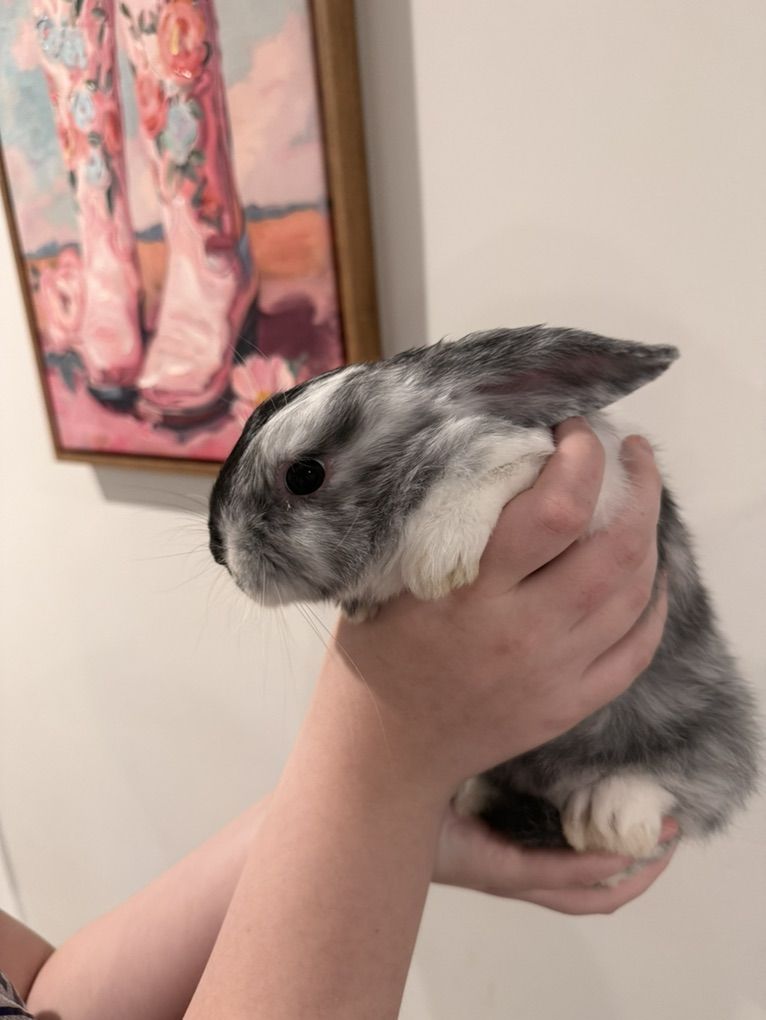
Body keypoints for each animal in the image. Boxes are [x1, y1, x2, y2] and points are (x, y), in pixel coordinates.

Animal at [208, 326, 759, 858]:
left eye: (304, 475)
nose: (222, 554)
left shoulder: (586, 484)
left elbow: (485, 460)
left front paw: (439, 558)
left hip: (704, 727)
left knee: (696, 786)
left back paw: (610, 815)